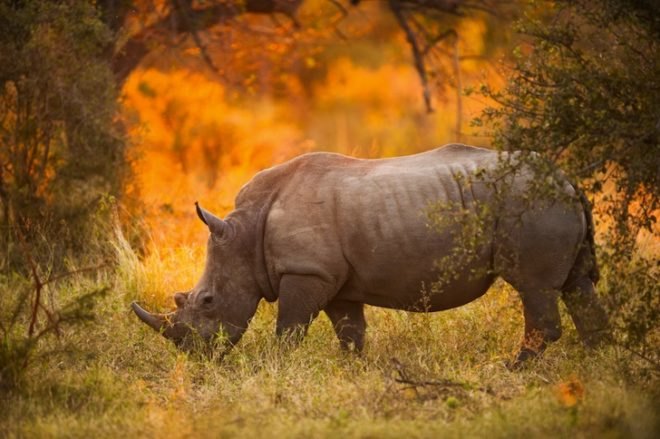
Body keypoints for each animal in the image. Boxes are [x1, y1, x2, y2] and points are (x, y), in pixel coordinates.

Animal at [132, 144, 608, 365]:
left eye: (208, 301)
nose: (195, 356)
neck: (245, 232)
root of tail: (566, 179)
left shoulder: (306, 272)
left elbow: (289, 329)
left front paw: (276, 366)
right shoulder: (335, 279)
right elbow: (350, 333)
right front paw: (351, 371)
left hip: (533, 204)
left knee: (535, 287)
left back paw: (513, 369)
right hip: (548, 203)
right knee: (577, 286)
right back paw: (598, 366)